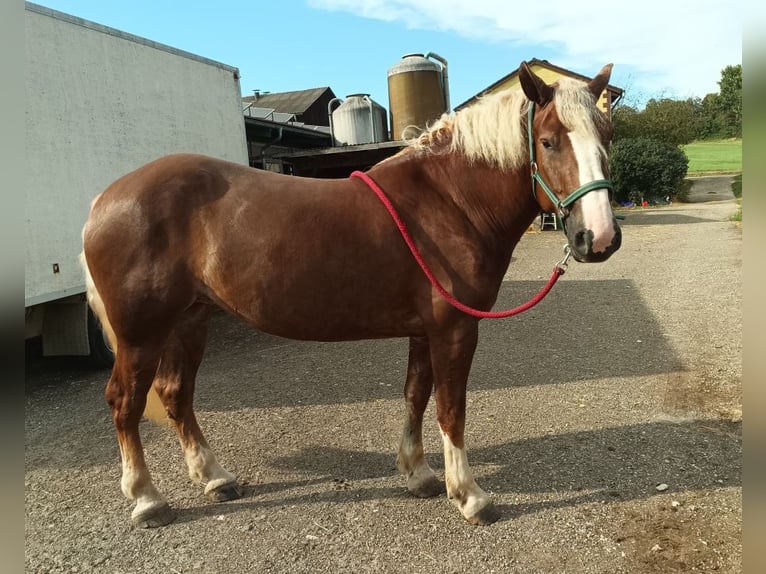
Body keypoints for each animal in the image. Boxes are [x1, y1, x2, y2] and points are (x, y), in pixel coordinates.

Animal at [81, 60, 620, 528]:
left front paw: (419, 474)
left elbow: (415, 395)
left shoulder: (426, 330)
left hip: (190, 320)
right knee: (124, 402)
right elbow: (451, 408)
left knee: (176, 394)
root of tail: (104, 199)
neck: (446, 201)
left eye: (607, 137)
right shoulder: (455, 329)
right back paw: (148, 500)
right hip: (141, 334)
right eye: (548, 141)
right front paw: (469, 495)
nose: (598, 238)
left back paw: (214, 478)